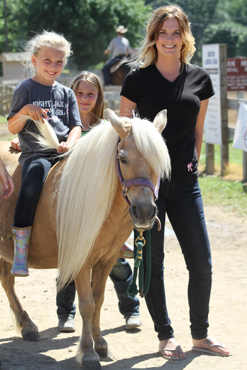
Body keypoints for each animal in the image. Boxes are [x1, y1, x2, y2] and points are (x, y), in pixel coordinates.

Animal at [0, 108, 170, 368]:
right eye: (123, 158)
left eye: (159, 162)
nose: (144, 212)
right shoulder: (81, 259)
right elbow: (87, 304)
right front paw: (88, 352)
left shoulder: (107, 259)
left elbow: (98, 299)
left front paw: (99, 344)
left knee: (7, 282)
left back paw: (26, 325)